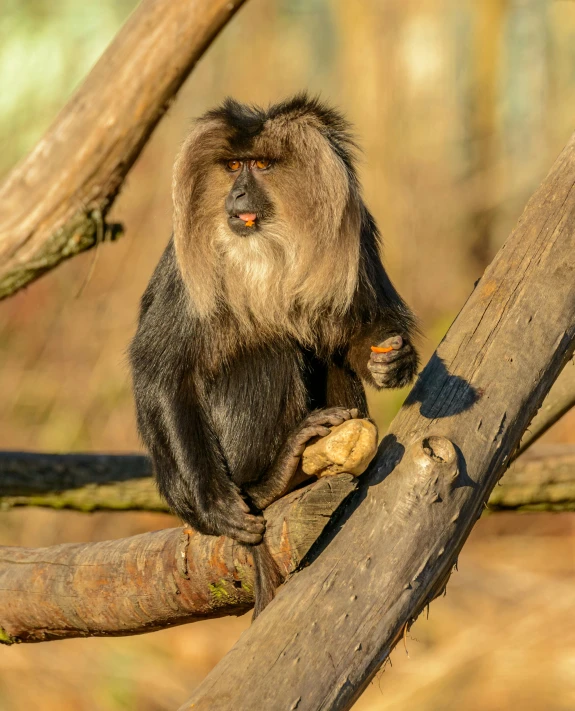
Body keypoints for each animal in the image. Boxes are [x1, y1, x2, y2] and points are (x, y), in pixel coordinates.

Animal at [129, 94, 418, 616]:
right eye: (233, 167)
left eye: (261, 166)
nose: (238, 196)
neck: (267, 248)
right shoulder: (186, 269)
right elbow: (161, 372)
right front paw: (215, 503)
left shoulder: (355, 232)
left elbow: (352, 334)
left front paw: (392, 361)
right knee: (274, 351)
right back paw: (271, 480)